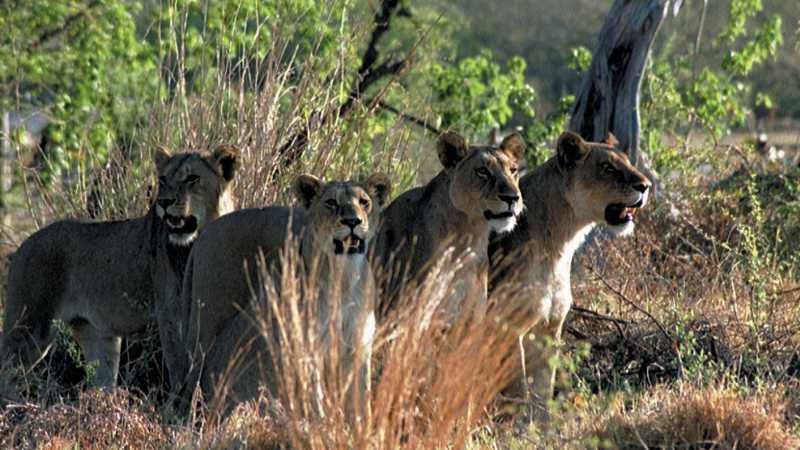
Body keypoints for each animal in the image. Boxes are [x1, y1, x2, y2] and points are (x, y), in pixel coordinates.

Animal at [1, 145, 239, 387]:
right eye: (163, 179)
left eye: (192, 178)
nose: (163, 202)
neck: (195, 242)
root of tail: (24, 244)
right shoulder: (170, 315)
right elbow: (179, 370)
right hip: (28, 329)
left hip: (97, 336)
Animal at [173, 172, 390, 410]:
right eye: (331, 202)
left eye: (364, 202)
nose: (353, 221)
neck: (344, 277)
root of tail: (202, 237)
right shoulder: (307, 344)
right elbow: (315, 395)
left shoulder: (358, 345)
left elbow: (361, 400)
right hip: (207, 323)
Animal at [489, 131, 650, 419]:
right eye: (607, 168)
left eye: (628, 162)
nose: (646, 186)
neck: (557, 245)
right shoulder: (508, 326)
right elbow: (518, 391)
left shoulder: (548, 328)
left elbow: (542, 391)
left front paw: (539, 425)